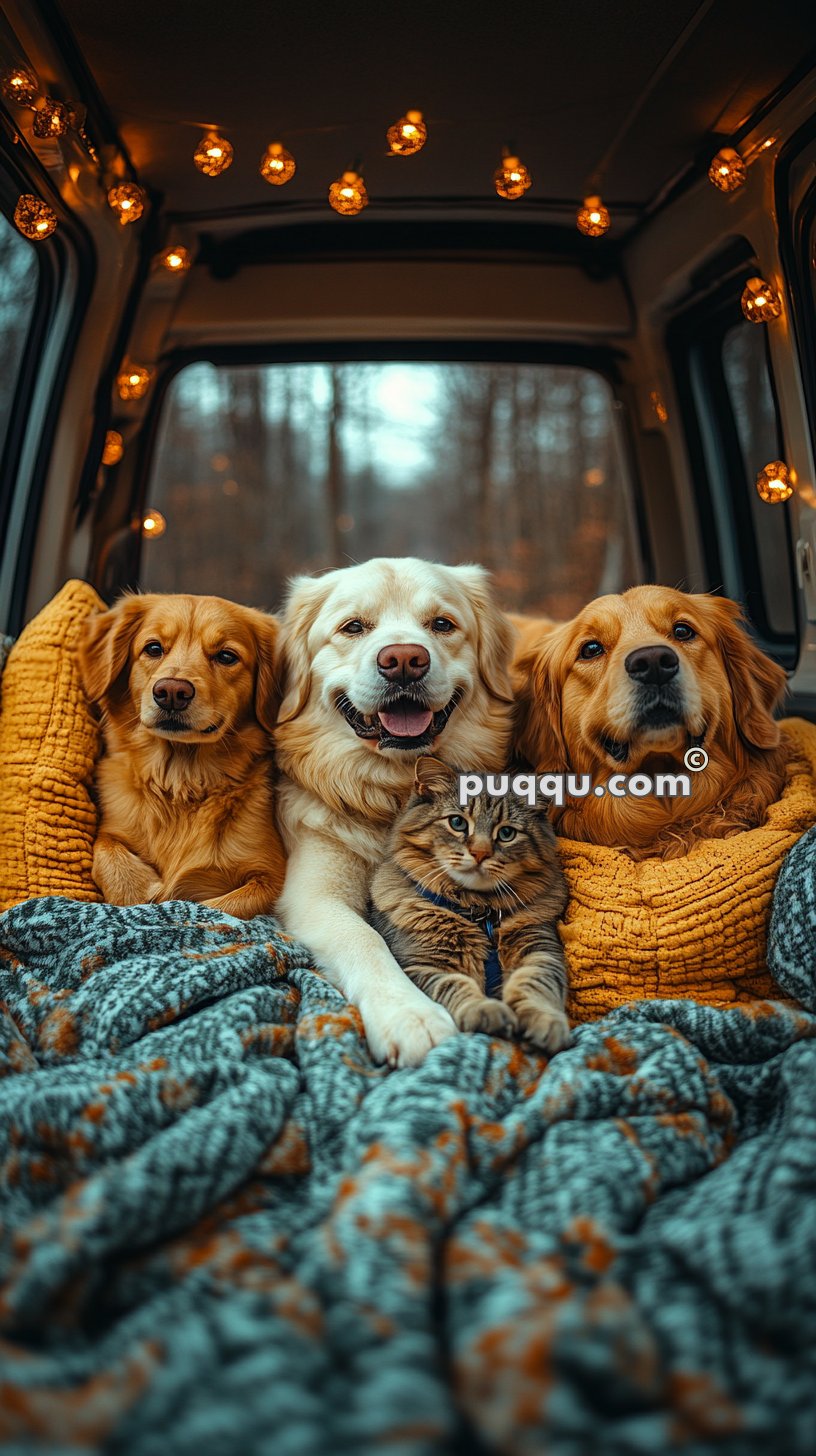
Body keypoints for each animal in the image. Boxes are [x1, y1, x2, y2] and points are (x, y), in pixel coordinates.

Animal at [77, 588, 285, 908]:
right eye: (153, 648)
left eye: (226, 656)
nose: (172, 692)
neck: (180, 781)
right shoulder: (112, 828)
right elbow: (106, 850)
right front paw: (138, 891)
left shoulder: (272, 877)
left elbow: (216, 908)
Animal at [273, 556, 515, 1071]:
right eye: (353, 627)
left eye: (442, 624)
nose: (404, 660)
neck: (396, 787)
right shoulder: (313, 895)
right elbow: (364, 938)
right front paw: (409, 1014)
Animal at [368, 757, 568, 1054]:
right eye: (457, 823)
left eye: (506, 833)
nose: (480, 853)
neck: (478, 910)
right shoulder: (423, 962)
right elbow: (456, 986)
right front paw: (484, 1010)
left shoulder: (538, 948)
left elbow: (534, 984)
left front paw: (544, 1021)